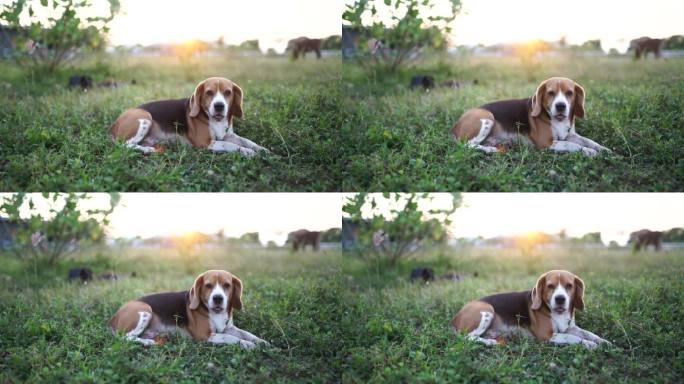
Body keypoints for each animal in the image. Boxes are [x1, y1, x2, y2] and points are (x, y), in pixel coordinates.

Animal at [108, 270, 268, 348]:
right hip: (145, 309)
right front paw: (247, 344)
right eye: (208, 285)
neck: (216, 313)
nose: (218, 298)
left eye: (227, 285)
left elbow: (246, 333)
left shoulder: (228, 327)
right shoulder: (204, 336)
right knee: (125, 338)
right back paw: (148, 343)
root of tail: (114, 316)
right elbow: (230, 337)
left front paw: (261, 341)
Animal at [109, 76, 268, 156]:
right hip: (145, 117)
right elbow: (229, 145)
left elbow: (245, 140)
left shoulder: (228, 135)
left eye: (228, 92)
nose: (219, 106)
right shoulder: (204, 143)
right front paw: (246, 151)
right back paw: (147, 150)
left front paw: (261, 149)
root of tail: (114, 124)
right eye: (209, 92)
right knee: (125, 145)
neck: (215, 120)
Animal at [454, 76, 608, 156]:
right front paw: (588, 151)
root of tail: (455, 125)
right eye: (551, 93)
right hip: (487, 117)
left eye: (569, 93)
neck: (558, 121)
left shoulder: (570, 135)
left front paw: (602, 148)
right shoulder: (546, 142)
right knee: (467, 145)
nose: (560, 106)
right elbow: (571, 145)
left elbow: (587, 140)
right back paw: (489, 150)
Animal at [454, 270, 608, 348]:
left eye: (569, 285)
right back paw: (490, 342)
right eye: (550, 286)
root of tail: (455, 317)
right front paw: (588, 343)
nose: (560, 299)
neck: (558, 314)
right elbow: (572, 337)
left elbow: (588, 333)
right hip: (487, 310)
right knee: (468, 337)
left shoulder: (570, 327)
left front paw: (602, 341)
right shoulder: (546, 335)